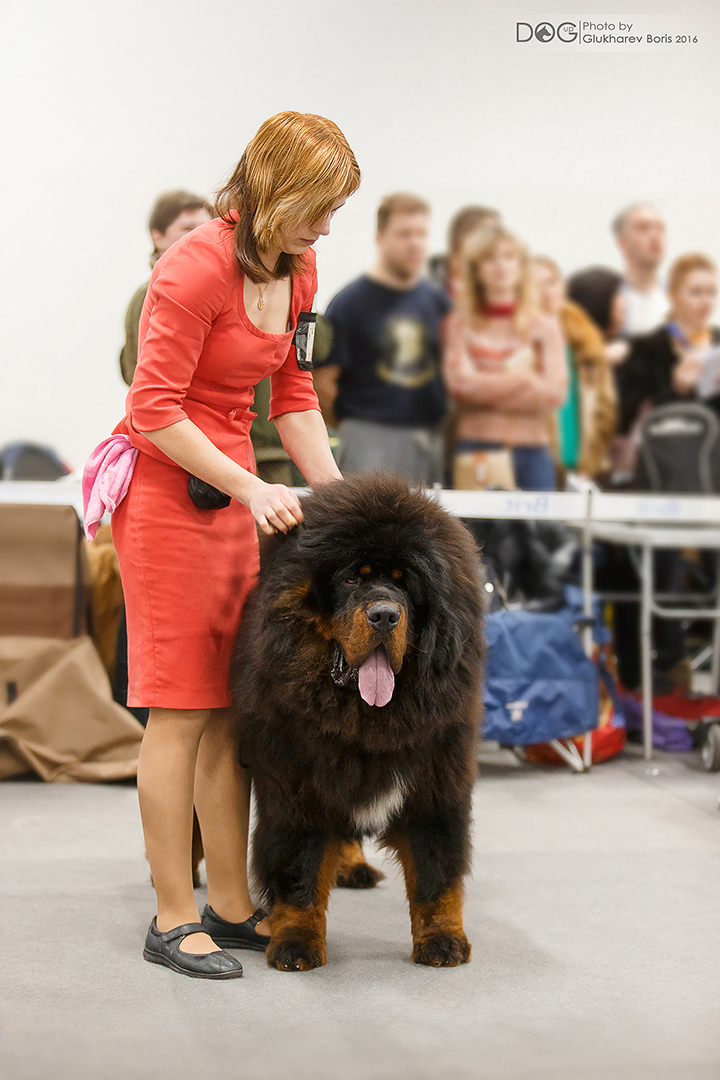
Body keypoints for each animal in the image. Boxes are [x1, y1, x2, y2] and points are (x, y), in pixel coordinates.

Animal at [231, 473, 485, 970]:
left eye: (406, 584)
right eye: (353, 578)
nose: (384, 614)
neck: (367, 720)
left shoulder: (437, 783)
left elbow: (436, 874)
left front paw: (442, 940)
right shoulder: (296, 788)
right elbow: (299, 873)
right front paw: (296, 943)